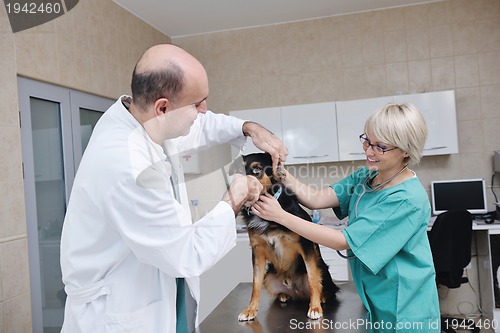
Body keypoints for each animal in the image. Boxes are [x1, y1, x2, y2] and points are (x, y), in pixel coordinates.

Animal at [232, 152, 338, 320]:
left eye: (257, 169)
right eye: (237, 171)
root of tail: (297, 291)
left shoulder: (306, 245)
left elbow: (313, 279)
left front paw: (315, 307)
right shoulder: (257, 250)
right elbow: (255, 284)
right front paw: (250, 310)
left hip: (322, 267)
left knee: (327, 286)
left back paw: (322, 297)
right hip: (269, 276)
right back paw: (284, 295)